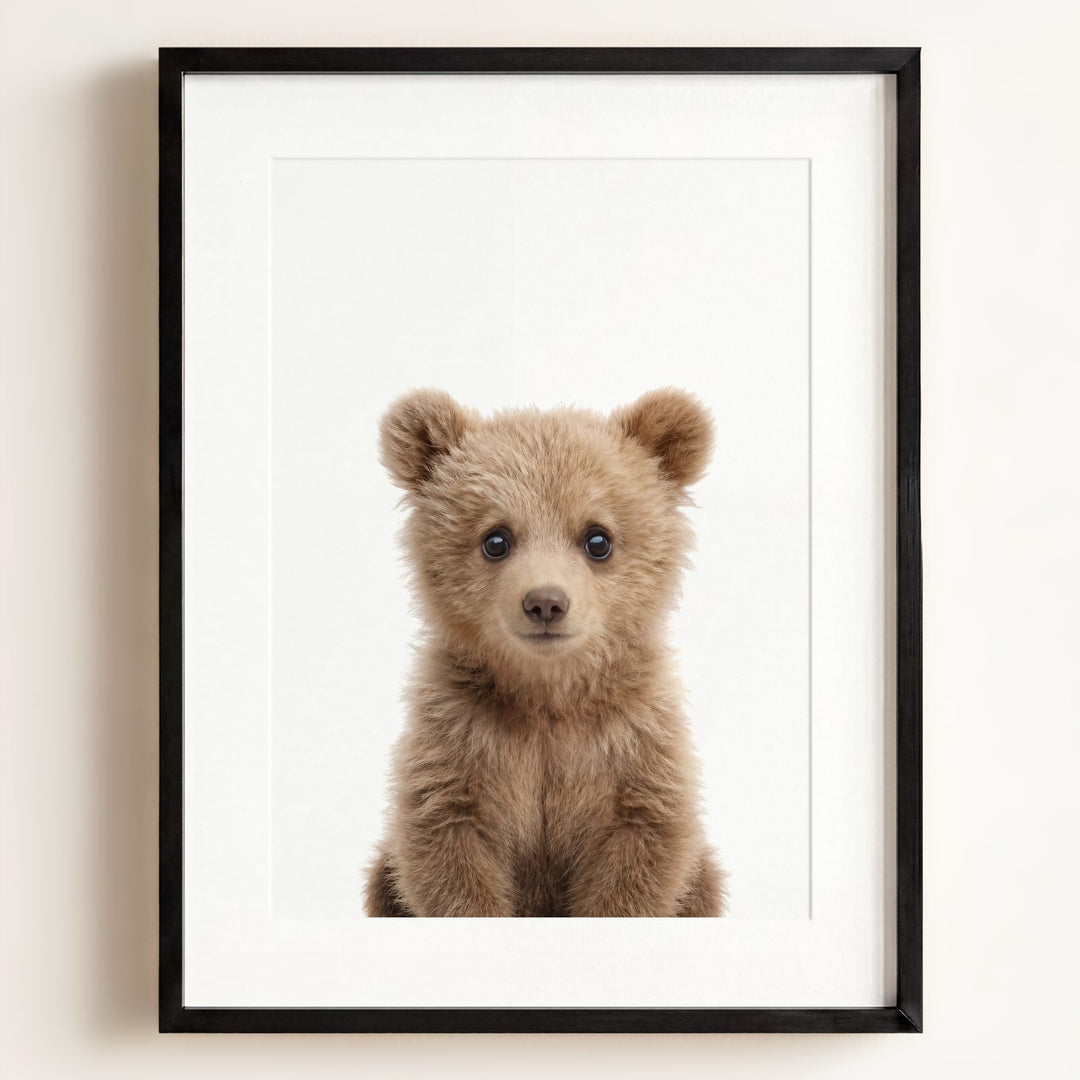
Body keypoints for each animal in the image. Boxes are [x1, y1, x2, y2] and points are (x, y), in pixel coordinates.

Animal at [365, 387, 726, 917]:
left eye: (598, 538)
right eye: (496, 539)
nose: (546, 602)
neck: (547, 694)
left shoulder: (633, 745)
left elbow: (640, 851)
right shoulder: (458, 740)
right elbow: (447, 848)